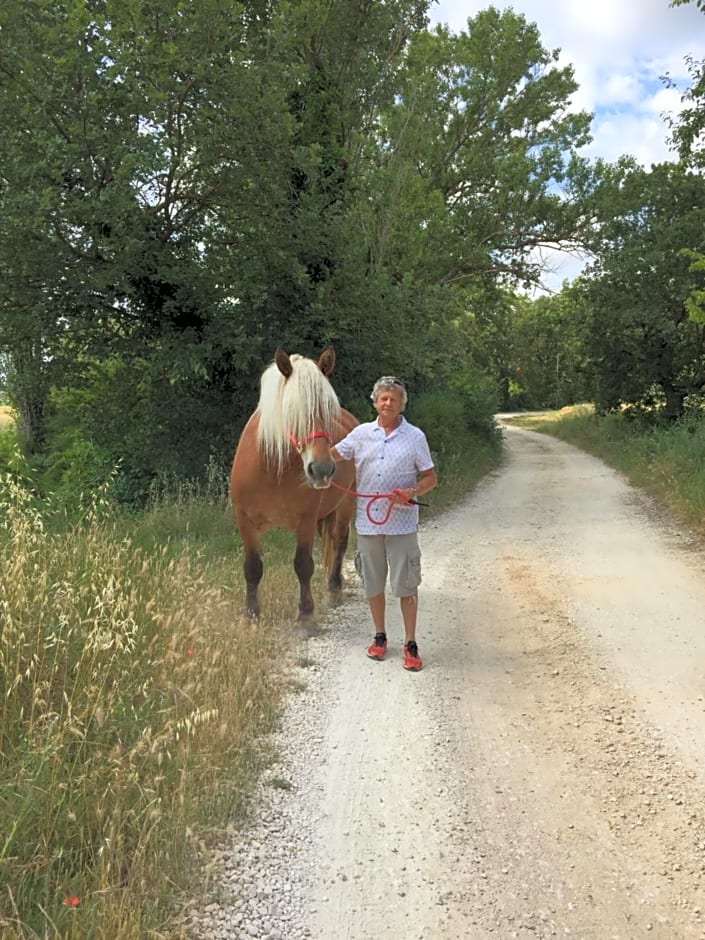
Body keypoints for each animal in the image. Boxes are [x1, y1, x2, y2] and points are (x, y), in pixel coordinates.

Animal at [231, 348, 358, 620]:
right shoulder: (244, 520)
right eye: (292, 411)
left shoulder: (306, 519)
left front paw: (306, 614)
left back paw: (334, 588)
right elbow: (252, 567)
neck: (272, 471)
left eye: (328, 409)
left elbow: (303, 565)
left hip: (346, 503)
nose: (321, 470)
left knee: (340, 541)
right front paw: (252, 614)